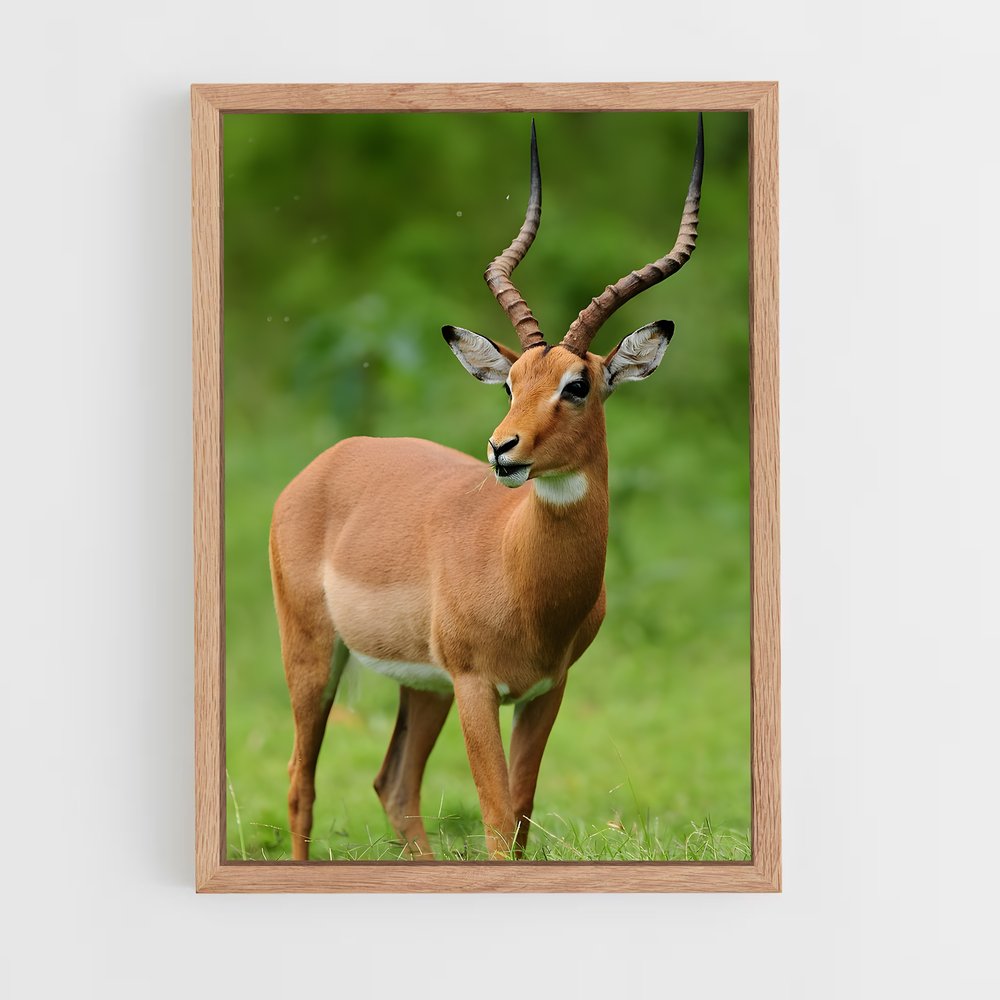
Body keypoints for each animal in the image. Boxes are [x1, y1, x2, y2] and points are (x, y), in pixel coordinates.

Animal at [270, 115, 704, 861]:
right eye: (511, 383)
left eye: (577, 384)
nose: (503, 449)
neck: (520, 568)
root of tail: (327, 463)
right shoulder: (477, 688)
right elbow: (498, 816)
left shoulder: (545, 689)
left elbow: (522, 814)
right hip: (314, 654)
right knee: (302, 781)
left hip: (423, 687)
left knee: (394, 784)